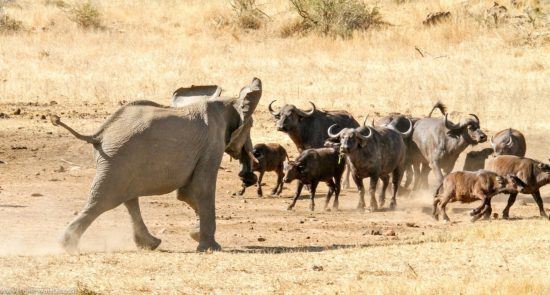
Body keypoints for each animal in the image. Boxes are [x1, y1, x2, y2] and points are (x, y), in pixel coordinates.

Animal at [50, 77, 264, 253]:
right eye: (251, 126)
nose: (248, 175)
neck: (226, 102)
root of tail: (98, 134)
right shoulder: (212, 145)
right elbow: (200, 188)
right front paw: (211, 248)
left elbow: (187, 193)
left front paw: (195, 235)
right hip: (118, 159)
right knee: (103, 200)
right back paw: (66, 246)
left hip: (118, 161)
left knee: (128, 198)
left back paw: (150, 244)